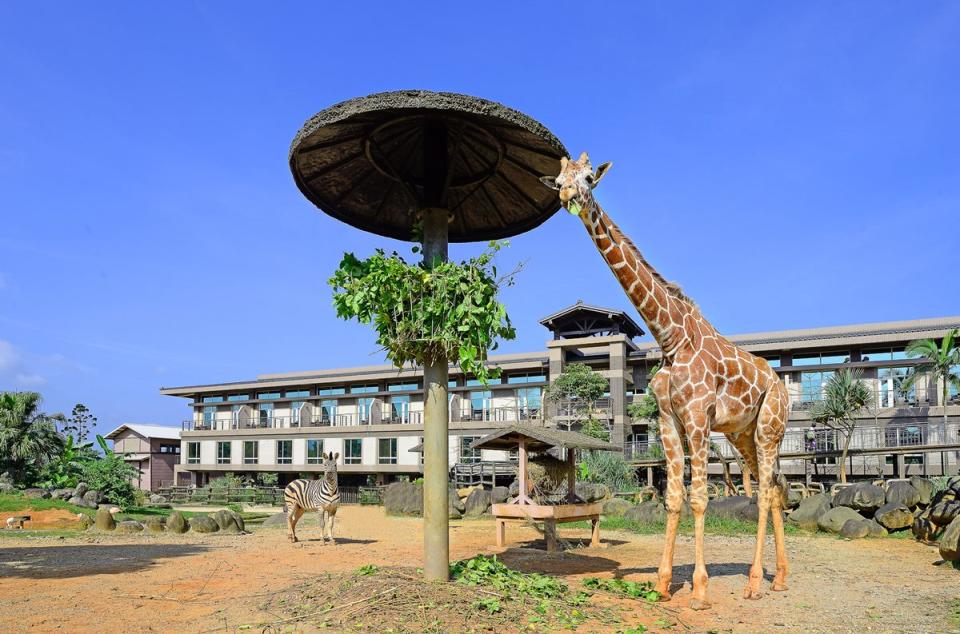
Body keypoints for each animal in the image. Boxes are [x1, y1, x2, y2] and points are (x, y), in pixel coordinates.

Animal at [540, 152, 788, 608]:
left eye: (589, 178)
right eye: (560, 179)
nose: (569, 196)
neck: (671, 337)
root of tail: (781, 386)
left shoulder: (697, 416)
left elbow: (699, 497)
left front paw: (700, 590)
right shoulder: (667, 420)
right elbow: (673, 498)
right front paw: (661, 583)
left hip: (769, 428)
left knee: (763, 492)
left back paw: (752, 583)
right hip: (744, 434)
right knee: (775, 487)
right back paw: (777, 578)